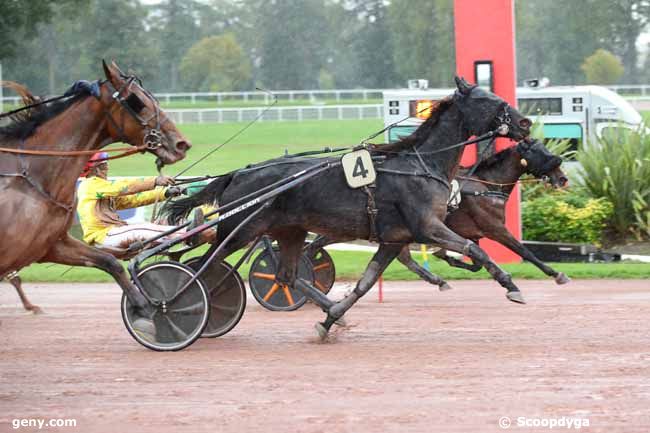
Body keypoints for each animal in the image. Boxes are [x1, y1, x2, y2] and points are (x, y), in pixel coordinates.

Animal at [1, 60, 190, 310]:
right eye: (137, 102)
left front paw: (142, 303)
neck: (31, 175)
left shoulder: (50, 245)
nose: (181, 144)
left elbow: (109, 261)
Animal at [166, 79, 532, 340]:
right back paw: (177, 303)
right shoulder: (427, 226)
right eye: (488, 100)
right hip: (240, 230)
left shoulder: (394, 239)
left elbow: (366, 282)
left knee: (286, 275)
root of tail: (238, 173)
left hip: (289, 231)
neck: (420, 165)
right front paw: (512, 287)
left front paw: (331, 319)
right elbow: (474, 248)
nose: (526, 122)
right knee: (202, 266)